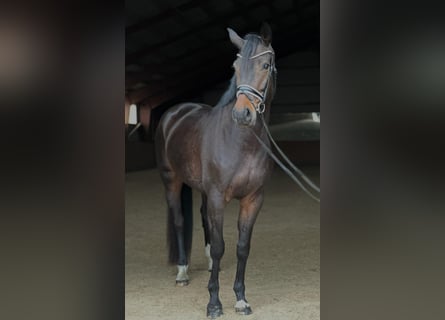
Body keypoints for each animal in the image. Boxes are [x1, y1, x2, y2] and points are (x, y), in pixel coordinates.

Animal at [154, 23, 276, 318]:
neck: (240, 142)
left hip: (203, 190)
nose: (243, 115)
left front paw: (241, 300)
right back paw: (183, 273)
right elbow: (221, 246)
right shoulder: (220, 198)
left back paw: (208, 264)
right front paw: (214, 303)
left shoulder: (253, 199)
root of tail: (174, 112)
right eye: (235, 66)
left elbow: (242, 247)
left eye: (266, 65)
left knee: (202, 218)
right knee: (179, 220)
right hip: (171, 180)